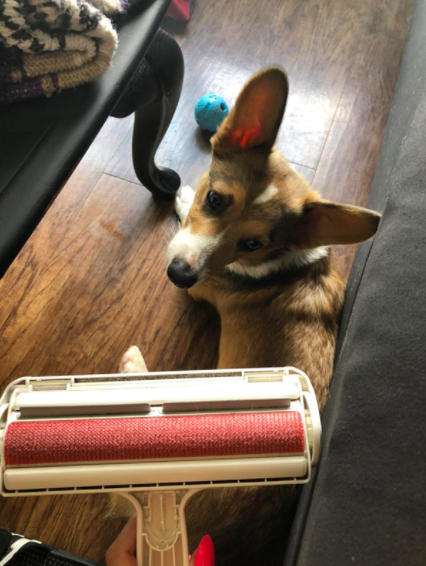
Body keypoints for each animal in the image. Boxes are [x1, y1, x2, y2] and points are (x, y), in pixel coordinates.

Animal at [119, 69, 380, 566]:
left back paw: (132, 370)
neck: (281, 262)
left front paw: (178, 198)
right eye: (216, 199)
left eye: (253, 243)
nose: (179, 275)